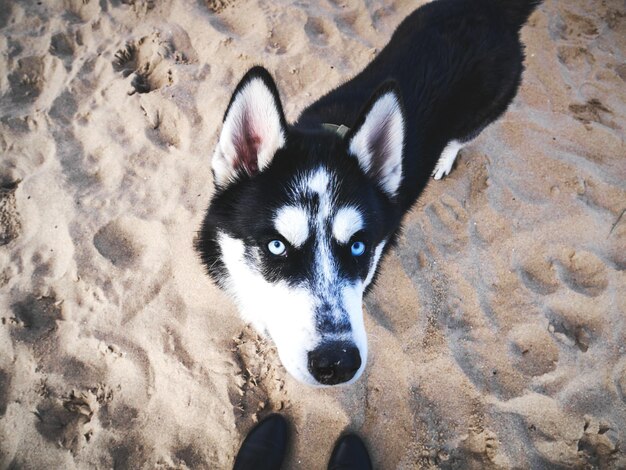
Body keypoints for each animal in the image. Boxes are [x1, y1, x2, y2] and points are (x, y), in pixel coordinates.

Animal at [196, 0, 540, 386]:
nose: (337, 362)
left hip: (486, 110)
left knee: (461, 137)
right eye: (276, 246)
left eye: (359, 246)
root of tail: (492, 9)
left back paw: (444, 159)